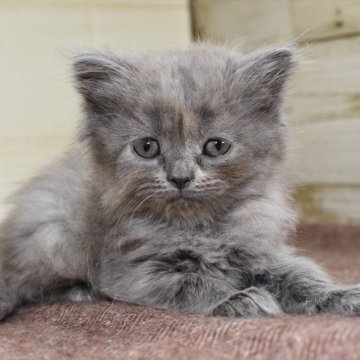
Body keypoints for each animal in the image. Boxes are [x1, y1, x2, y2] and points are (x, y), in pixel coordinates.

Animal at [0, 43, 360, 320]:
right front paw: (238, 298)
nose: (180, 177)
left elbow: (302, 274)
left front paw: (339, 295)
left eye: (216, 146)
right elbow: (193, 283)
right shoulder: (135, 269)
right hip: (52, 233)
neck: (202, 228)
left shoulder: (262, 250)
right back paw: (80, 291)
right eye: (147, 147)